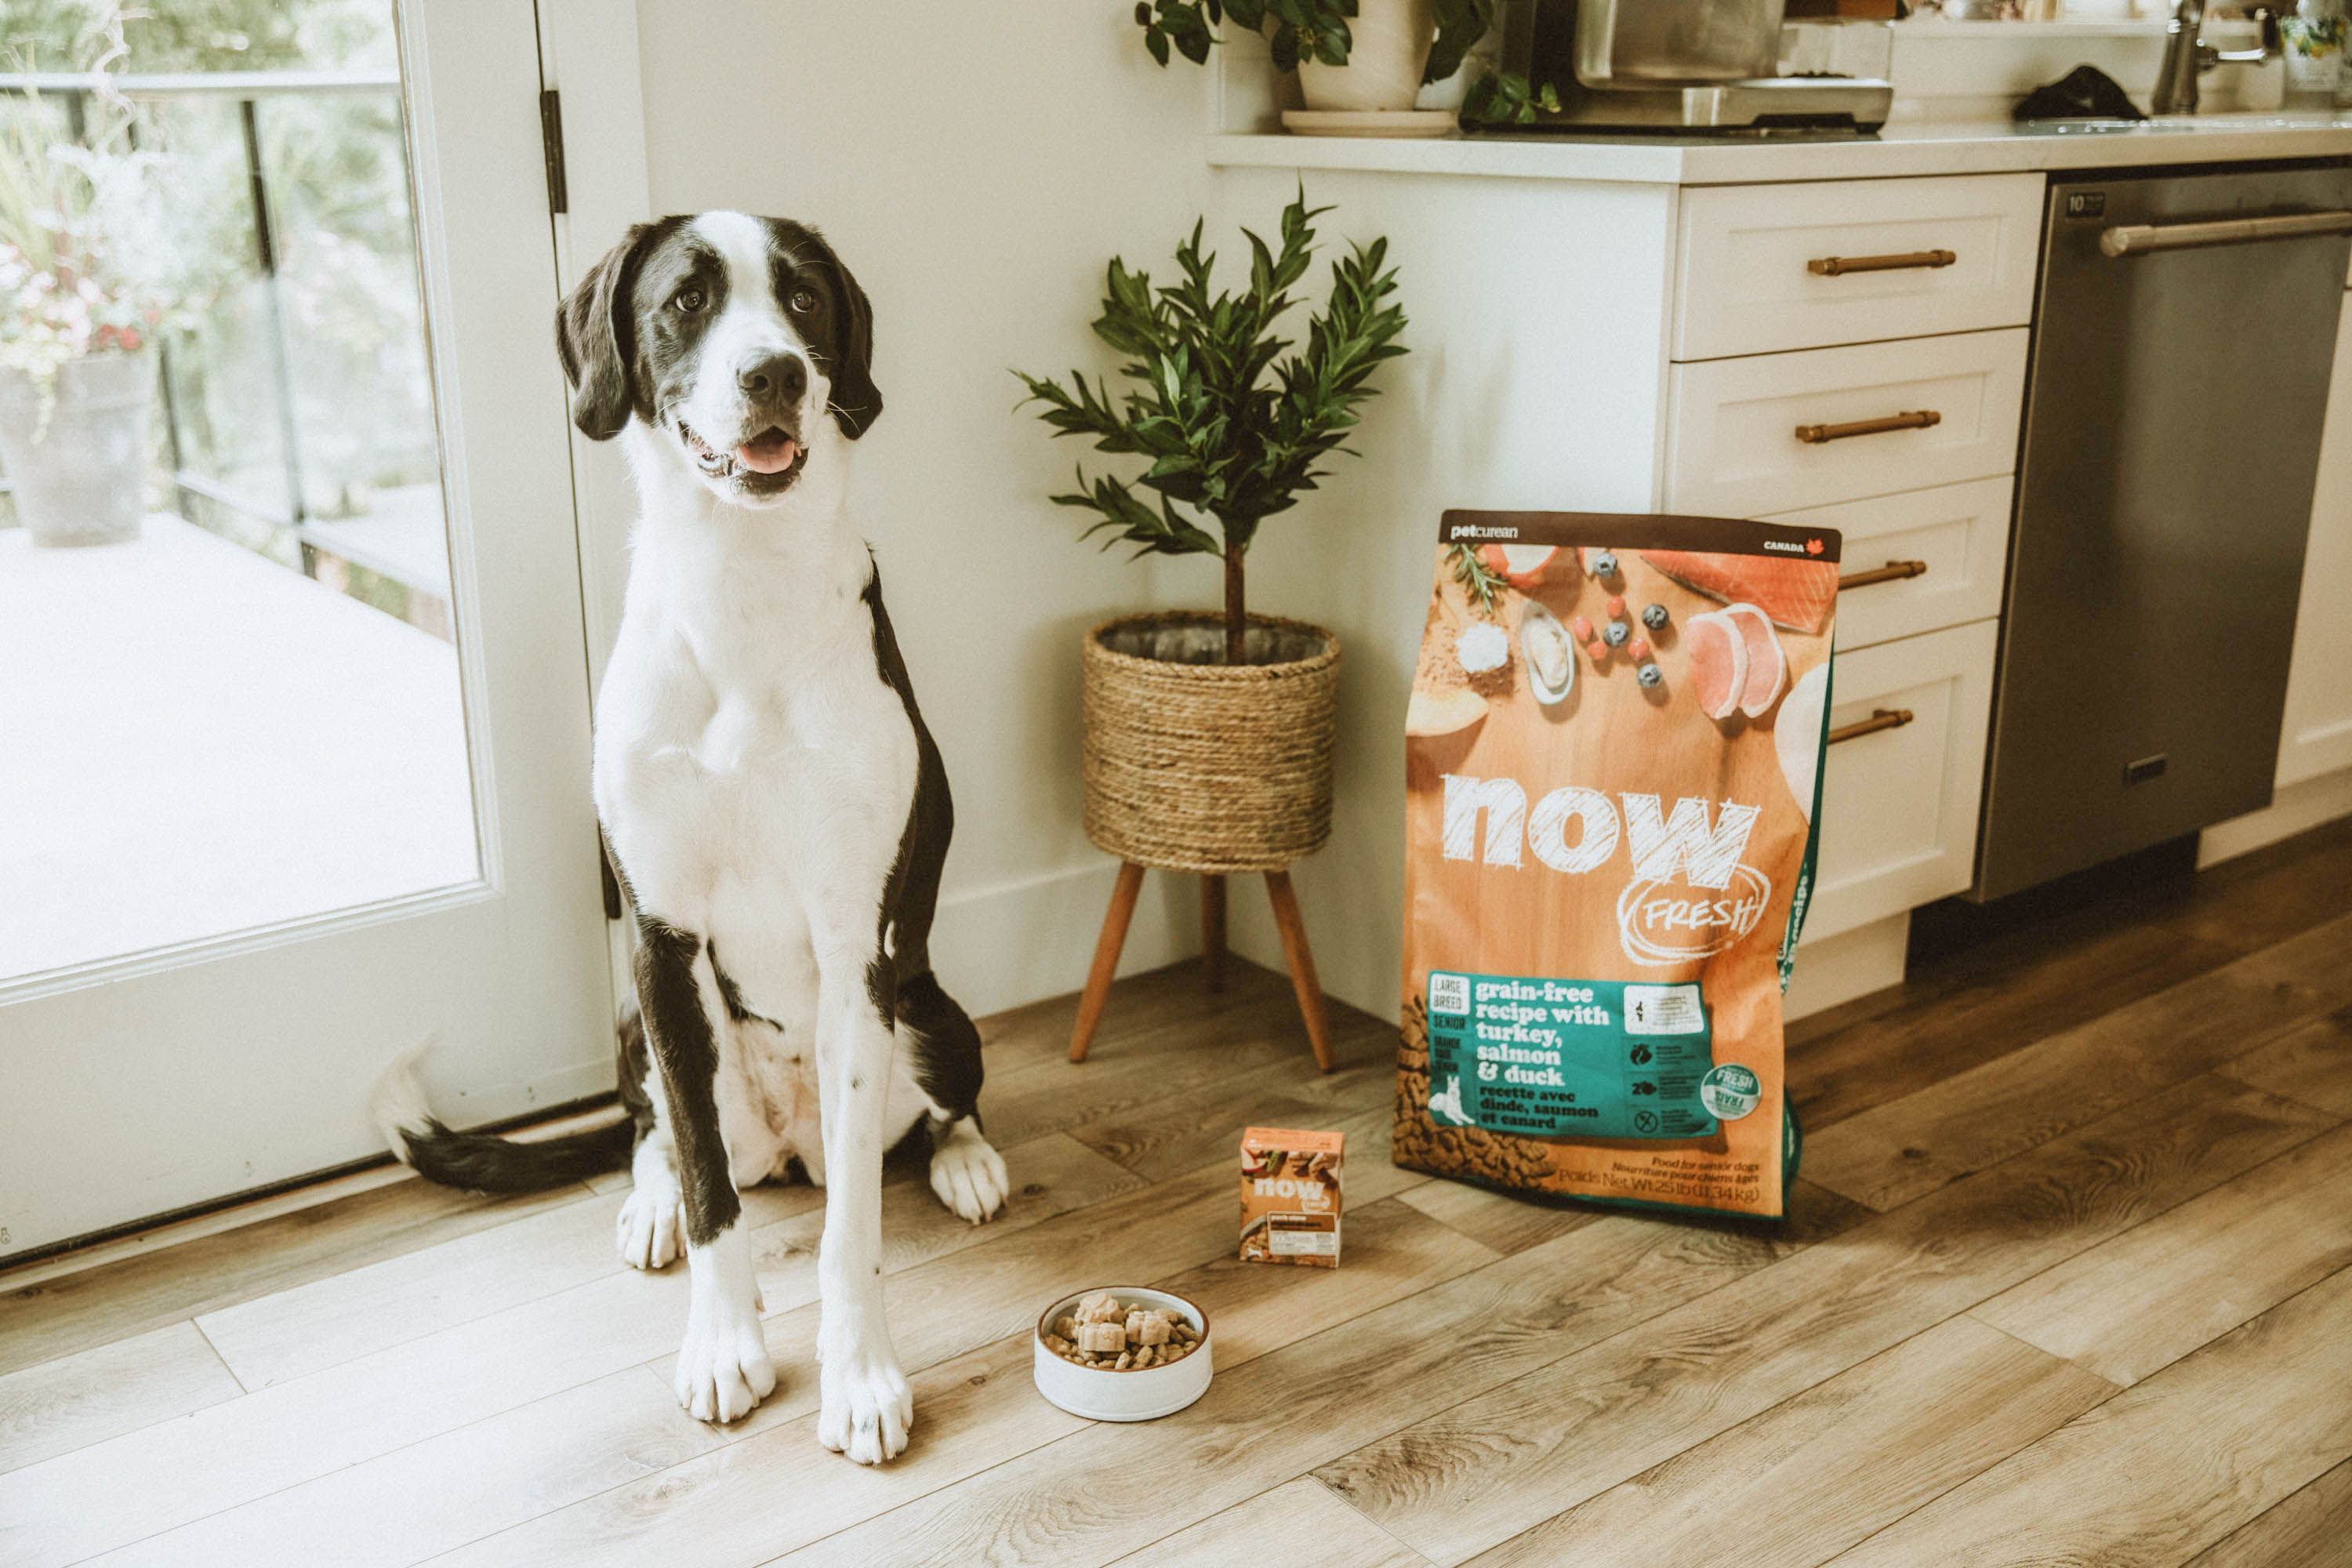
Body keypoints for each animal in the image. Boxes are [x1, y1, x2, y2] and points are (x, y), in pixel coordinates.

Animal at [372, 205, 1007, 1457]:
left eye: (804, 299)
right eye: (685, 302)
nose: (776, 374)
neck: (743, 586)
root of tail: (790, 1143)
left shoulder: (856, 950)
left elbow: (855, 1228)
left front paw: (861, 1374)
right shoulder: (661, 945)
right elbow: (714, 1190)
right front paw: (724, 1344)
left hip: (928, 1007)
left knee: (927, 1116)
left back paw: (966, 1161)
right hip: (636, 1020)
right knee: (661, 1131)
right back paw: (652, 1201)